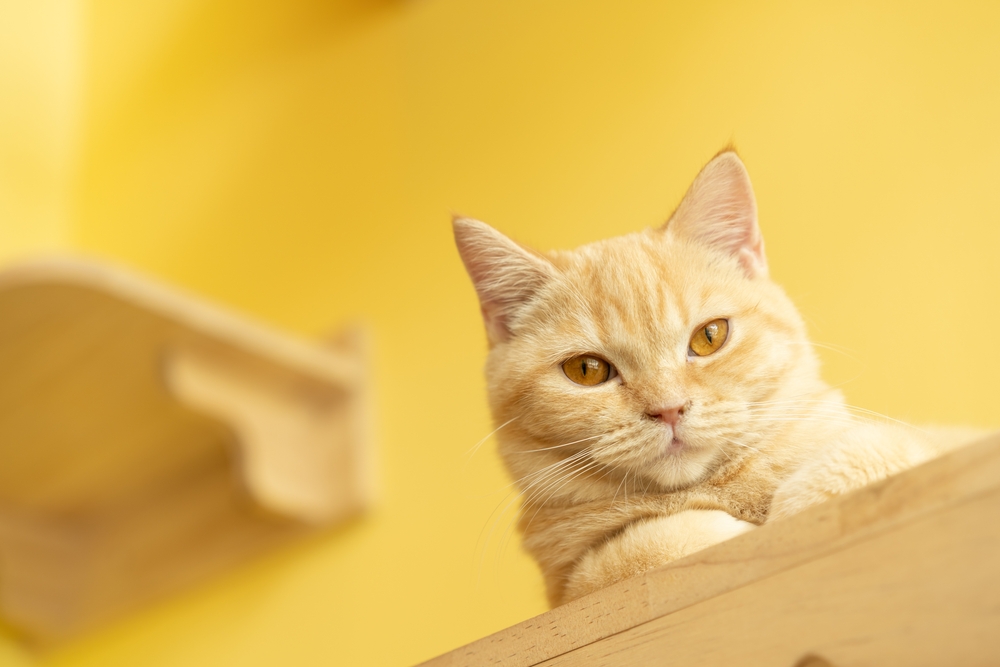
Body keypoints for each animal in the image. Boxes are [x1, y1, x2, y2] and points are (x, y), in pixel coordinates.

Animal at [452, 153, 976, 612]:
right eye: (588, 371)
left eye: (709, 337)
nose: (668, 408)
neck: (723, 487)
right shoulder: (566, 591)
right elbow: (635, 551)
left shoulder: (911, 445)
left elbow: (876, 449)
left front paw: (796, 507)